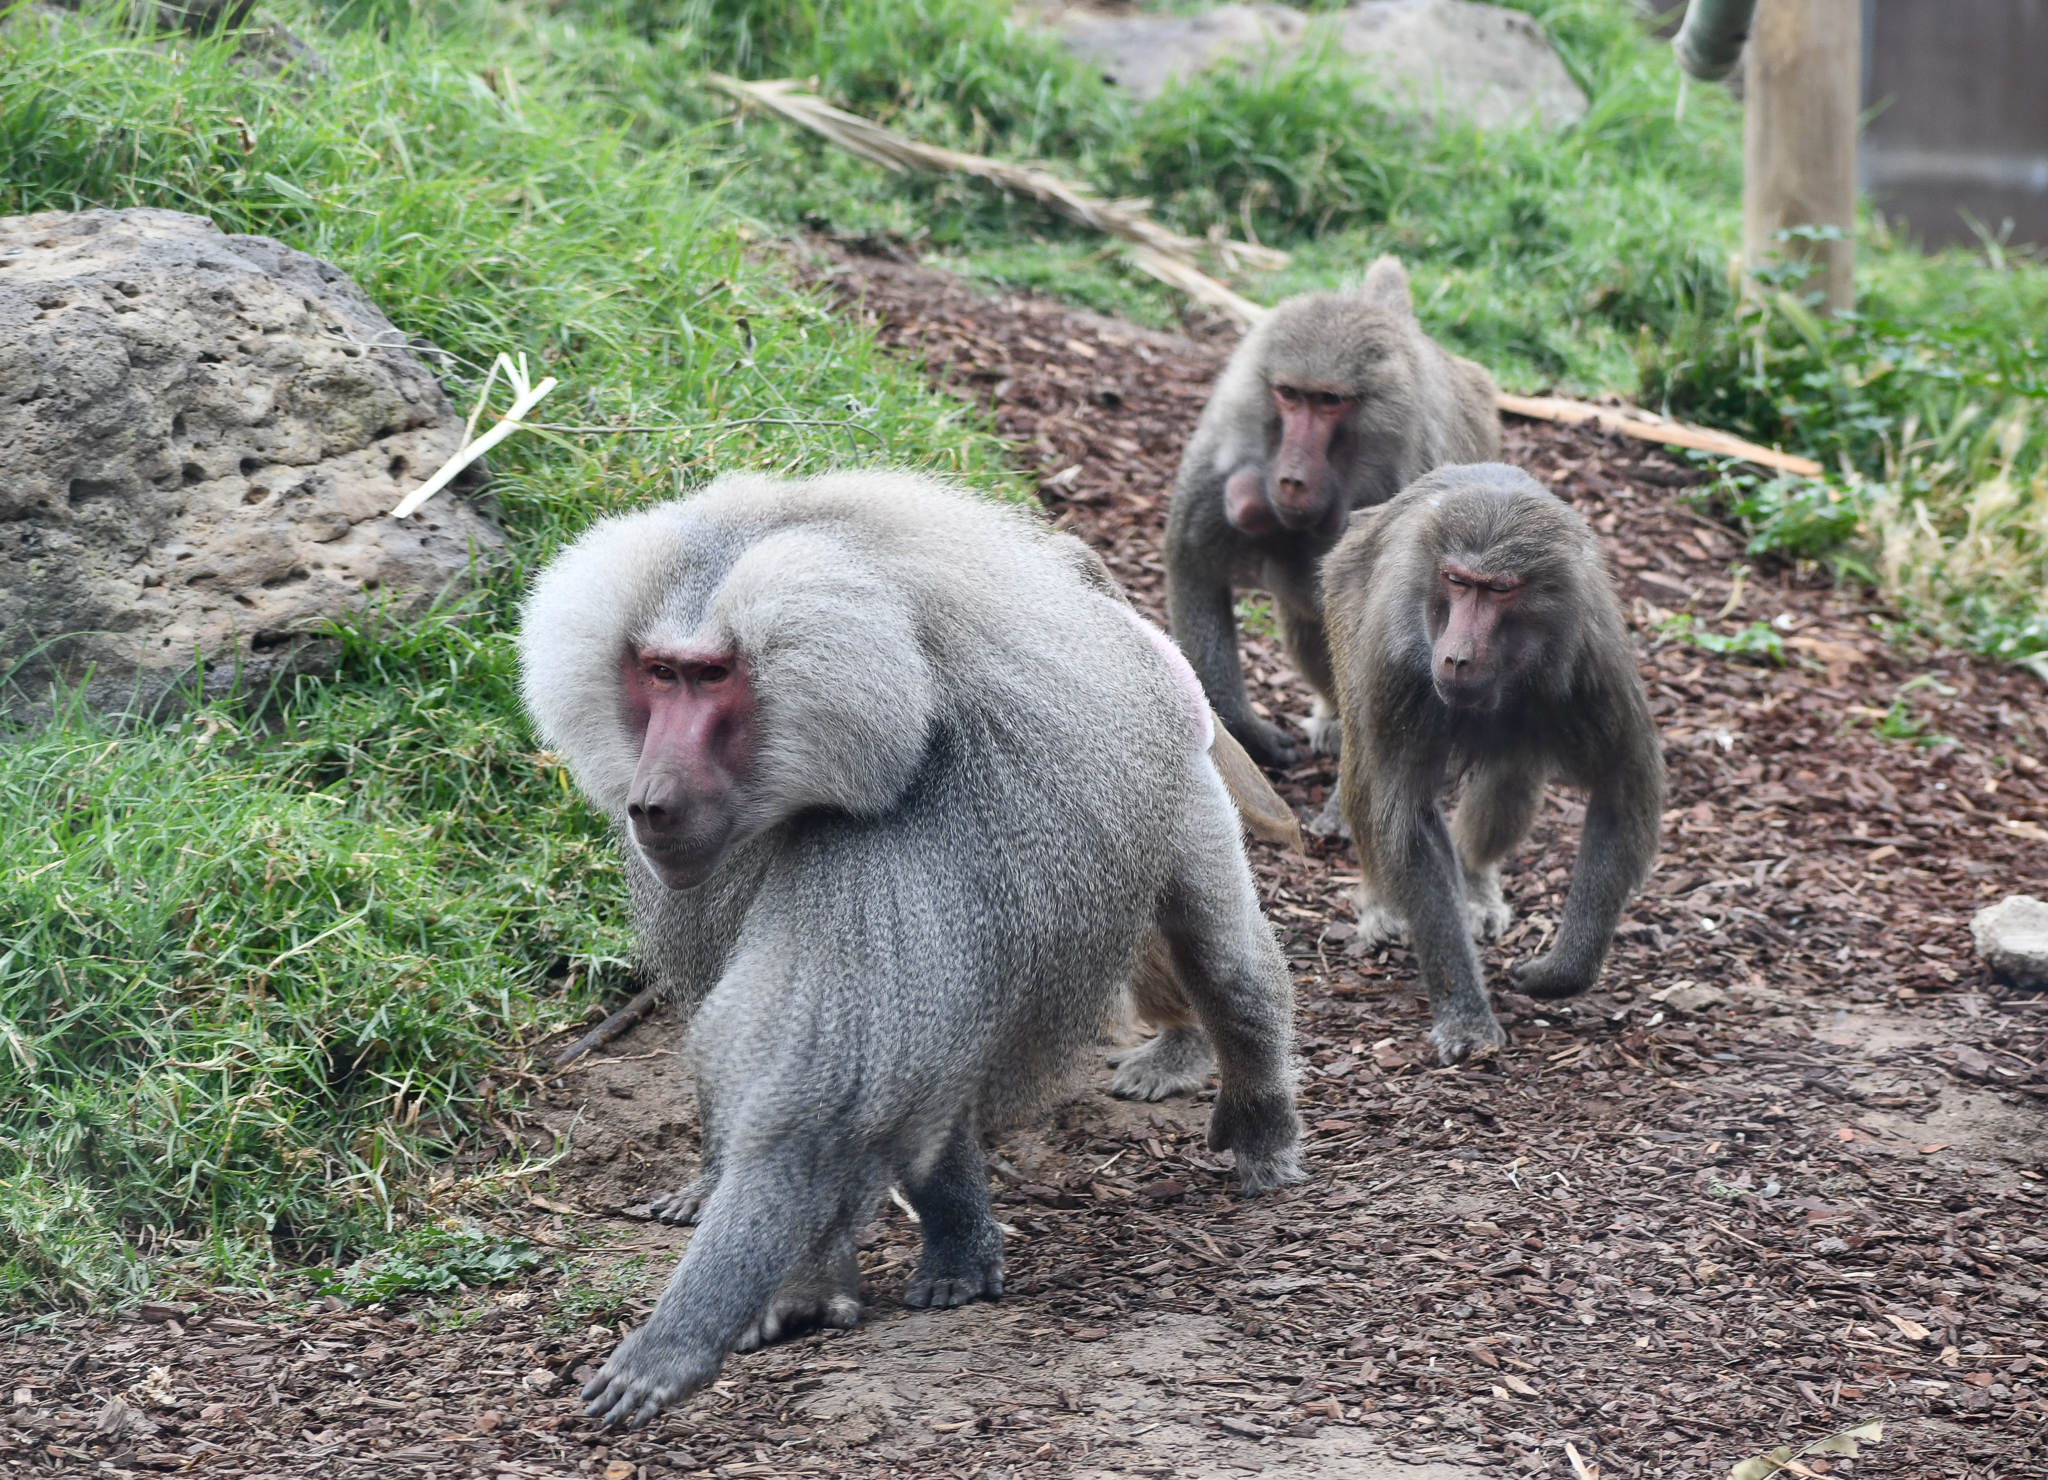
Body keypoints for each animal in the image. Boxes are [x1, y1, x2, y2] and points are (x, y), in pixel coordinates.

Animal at [518, 471, 1303, 1429]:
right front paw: (843, 1267)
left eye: (712, 677)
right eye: (658, 674)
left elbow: (823, 1094)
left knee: (1224, 965)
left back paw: (1262, 1131)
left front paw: (680, 1339)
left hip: (1180, 785)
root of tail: (1102, 610)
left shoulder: (895, 834)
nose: (649, 803)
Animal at [1164, 255, 1500, 770]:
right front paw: (1248, 731)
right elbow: (1196, 569)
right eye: (1288, 393)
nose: (1291, 479)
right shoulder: (1219, 471)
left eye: (1329, 401)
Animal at [1321, 463, 1665, 1065]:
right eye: (1458, 581)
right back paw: (1382, 901)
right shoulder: (1393, 661)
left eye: (1499, 590)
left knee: (1512, 775)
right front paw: (1465, 1014)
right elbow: (1408, 825)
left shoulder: (1592, 660)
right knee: (1366, 773)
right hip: (1345, 593)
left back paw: (1477, 881)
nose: (1457, 656)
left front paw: (1559, 972)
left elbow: (1621, 796)